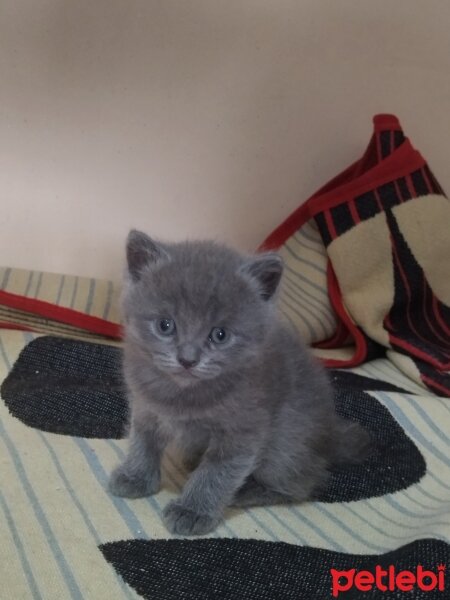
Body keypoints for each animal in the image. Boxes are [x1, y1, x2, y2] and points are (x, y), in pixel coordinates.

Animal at [109, 230, 370, 536]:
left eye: (220, 335)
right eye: (165, 325)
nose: (188, 359)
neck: (181, 395)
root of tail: (330, 435)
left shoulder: (243, 430)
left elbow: (217, 472)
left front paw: (192, 510)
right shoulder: (145, 407)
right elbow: (142, 441)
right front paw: (136, 476)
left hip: (287, 441)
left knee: (302, 482)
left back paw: (246, 491)